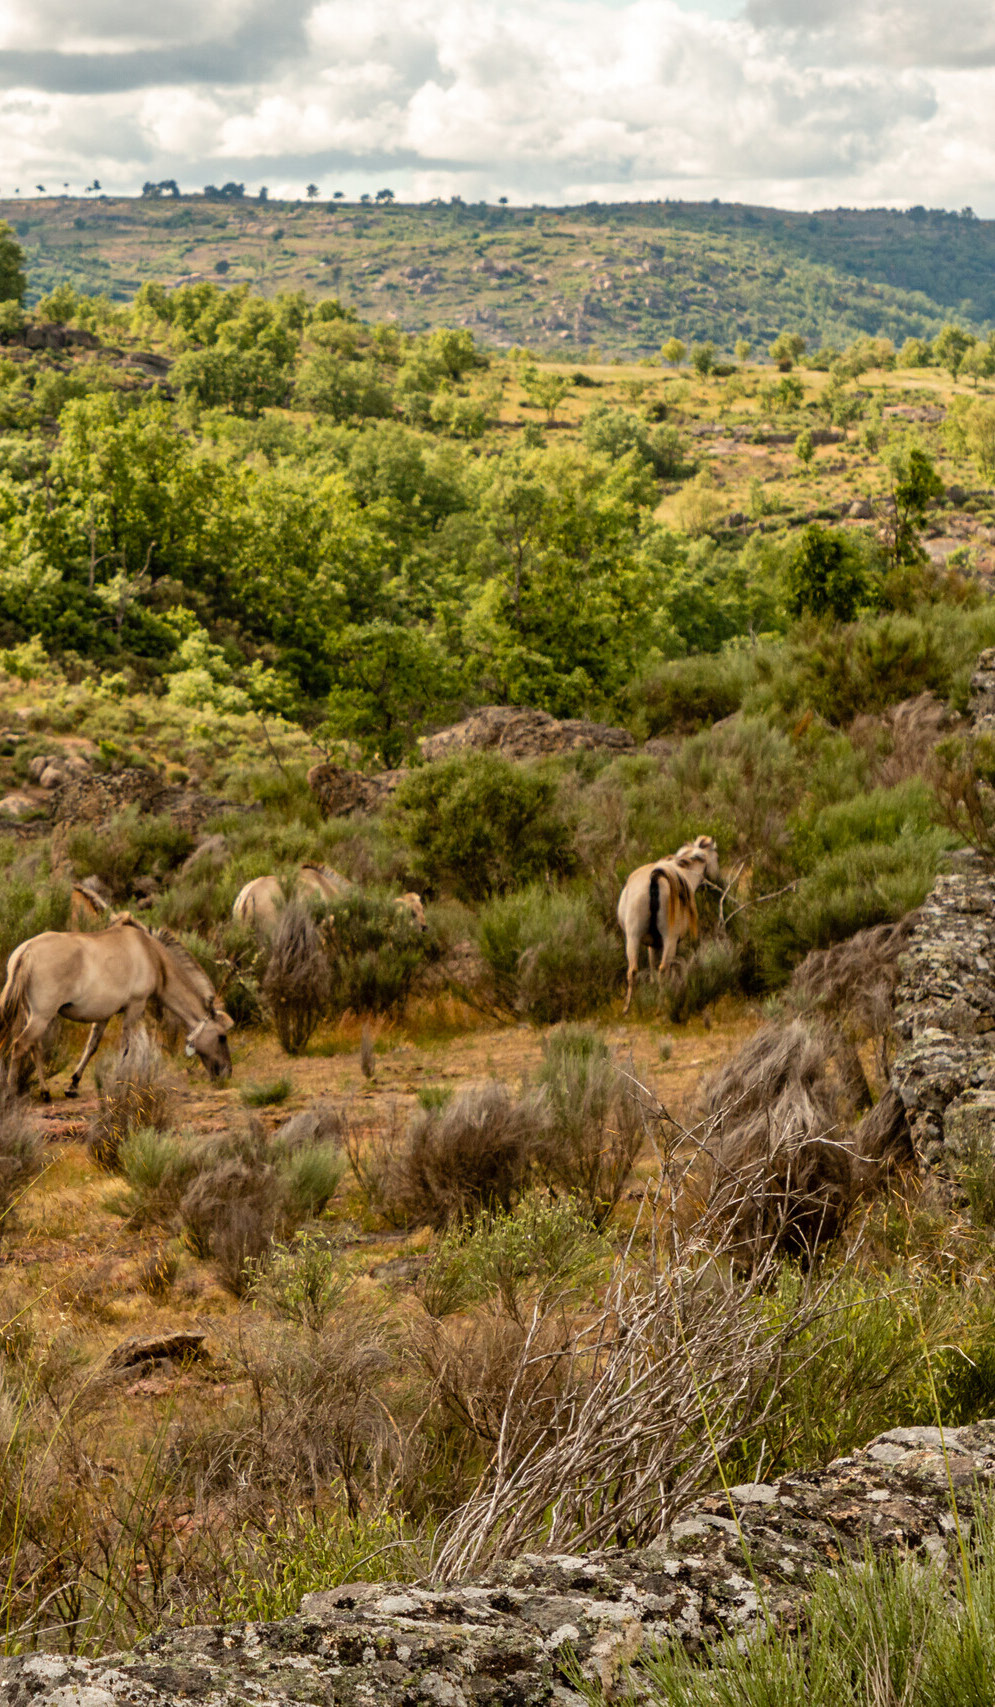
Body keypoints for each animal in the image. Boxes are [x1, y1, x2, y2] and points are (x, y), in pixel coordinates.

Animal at [0, 917, 233, 1100]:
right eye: (222, 1037)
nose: (227, 1073)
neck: (152, 955)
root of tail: (27, 951)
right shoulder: (135, 1007)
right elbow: (126, 1047)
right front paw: (120, 1081)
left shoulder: (103, 1015)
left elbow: (91, 1046)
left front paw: (73, 1084)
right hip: (42, 1016)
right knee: (20, 1046)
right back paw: (11, 1092)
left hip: (33, 1015)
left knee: (34, 1047)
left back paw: (45, 1091)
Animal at [617, 835, 721, 1015]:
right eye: (717, 857)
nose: (717, 881)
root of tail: (654, 878)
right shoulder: (668, 942)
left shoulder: (652, 944)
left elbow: (651, 966)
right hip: (669, 939)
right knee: (663, 969)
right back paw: (661, 1006)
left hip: (633, 937)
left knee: (633, 971)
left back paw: (627, 1009)